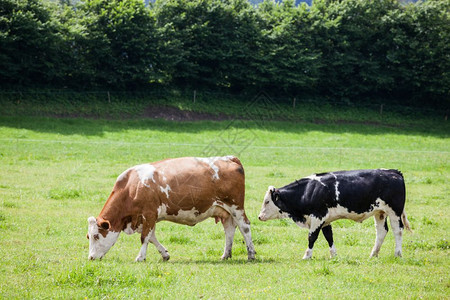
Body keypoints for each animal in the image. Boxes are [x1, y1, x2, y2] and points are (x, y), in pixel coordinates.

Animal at [87, 156, 255, 262]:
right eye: (88, 237)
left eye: (96, 236)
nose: (90, 258)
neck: (132, 186)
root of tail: (229, 158)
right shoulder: (144, 219)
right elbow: (151, 237)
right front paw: (165, 255)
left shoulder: (149, 213)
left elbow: (144, 237)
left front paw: (140, 257)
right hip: (224, 211)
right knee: (229, 230)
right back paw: (226, 255)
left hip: (236, 207)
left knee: (245, 227)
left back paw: (251, 254)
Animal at [260, 170, 412, 258]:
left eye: (267, 201)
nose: (259, 216)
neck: (308, 191)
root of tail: (394, 172)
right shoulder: (325, 219)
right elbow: (329, 236)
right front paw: (333, 255)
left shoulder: (318, 216)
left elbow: (312, 237)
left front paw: (307, 255)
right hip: (380, 212)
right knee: (381, 231)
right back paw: (373, 254)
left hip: (394, 211)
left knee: (397, 230)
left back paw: (397, 254)